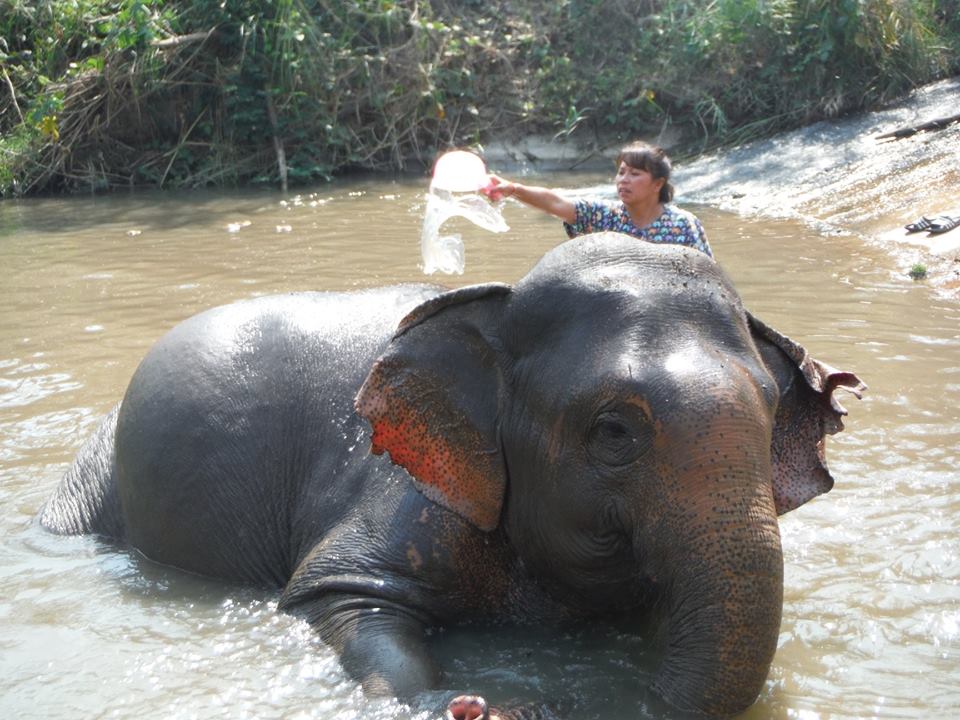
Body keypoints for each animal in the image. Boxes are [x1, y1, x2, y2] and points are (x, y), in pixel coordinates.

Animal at [40, 232, 864, 719]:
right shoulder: (406, 489)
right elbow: (333, 595)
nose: (618, 700)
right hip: (90, 484)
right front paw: (468, 706)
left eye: (771, 411)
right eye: (613, 432)